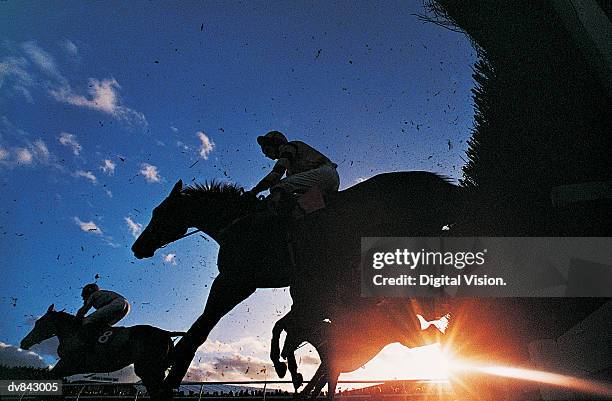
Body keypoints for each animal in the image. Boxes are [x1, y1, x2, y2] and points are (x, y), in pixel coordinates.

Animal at [20, 304, 183, 398]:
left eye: (39, 322)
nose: (24, 342)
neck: (73, 332)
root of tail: (166, 332)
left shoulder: (68, 363)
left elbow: (49, 377)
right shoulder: (69, 367)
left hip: (147, 369)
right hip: (157, 368)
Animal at [133, 170, 460, 386]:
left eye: (159, 212)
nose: (138, 247)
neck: (239, 221)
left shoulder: (235, 280)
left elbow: (200, 330)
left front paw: (170, 366)